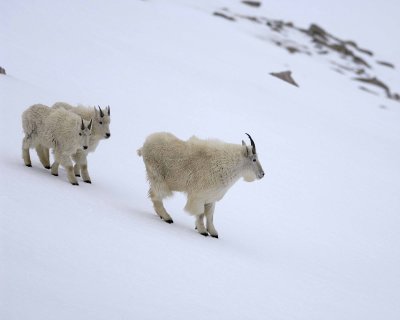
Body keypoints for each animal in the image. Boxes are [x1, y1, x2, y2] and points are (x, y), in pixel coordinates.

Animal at [138, 132, 266, 238]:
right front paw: (202, 231)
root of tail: (144, 146)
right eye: (254, 159)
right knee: (156, 196)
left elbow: (210, 216)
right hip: (158, 177)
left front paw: (213, 233)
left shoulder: (211, 198)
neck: (226, 165)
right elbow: (200, 214)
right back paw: (167, 218)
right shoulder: (199, 196)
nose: (262, 174)